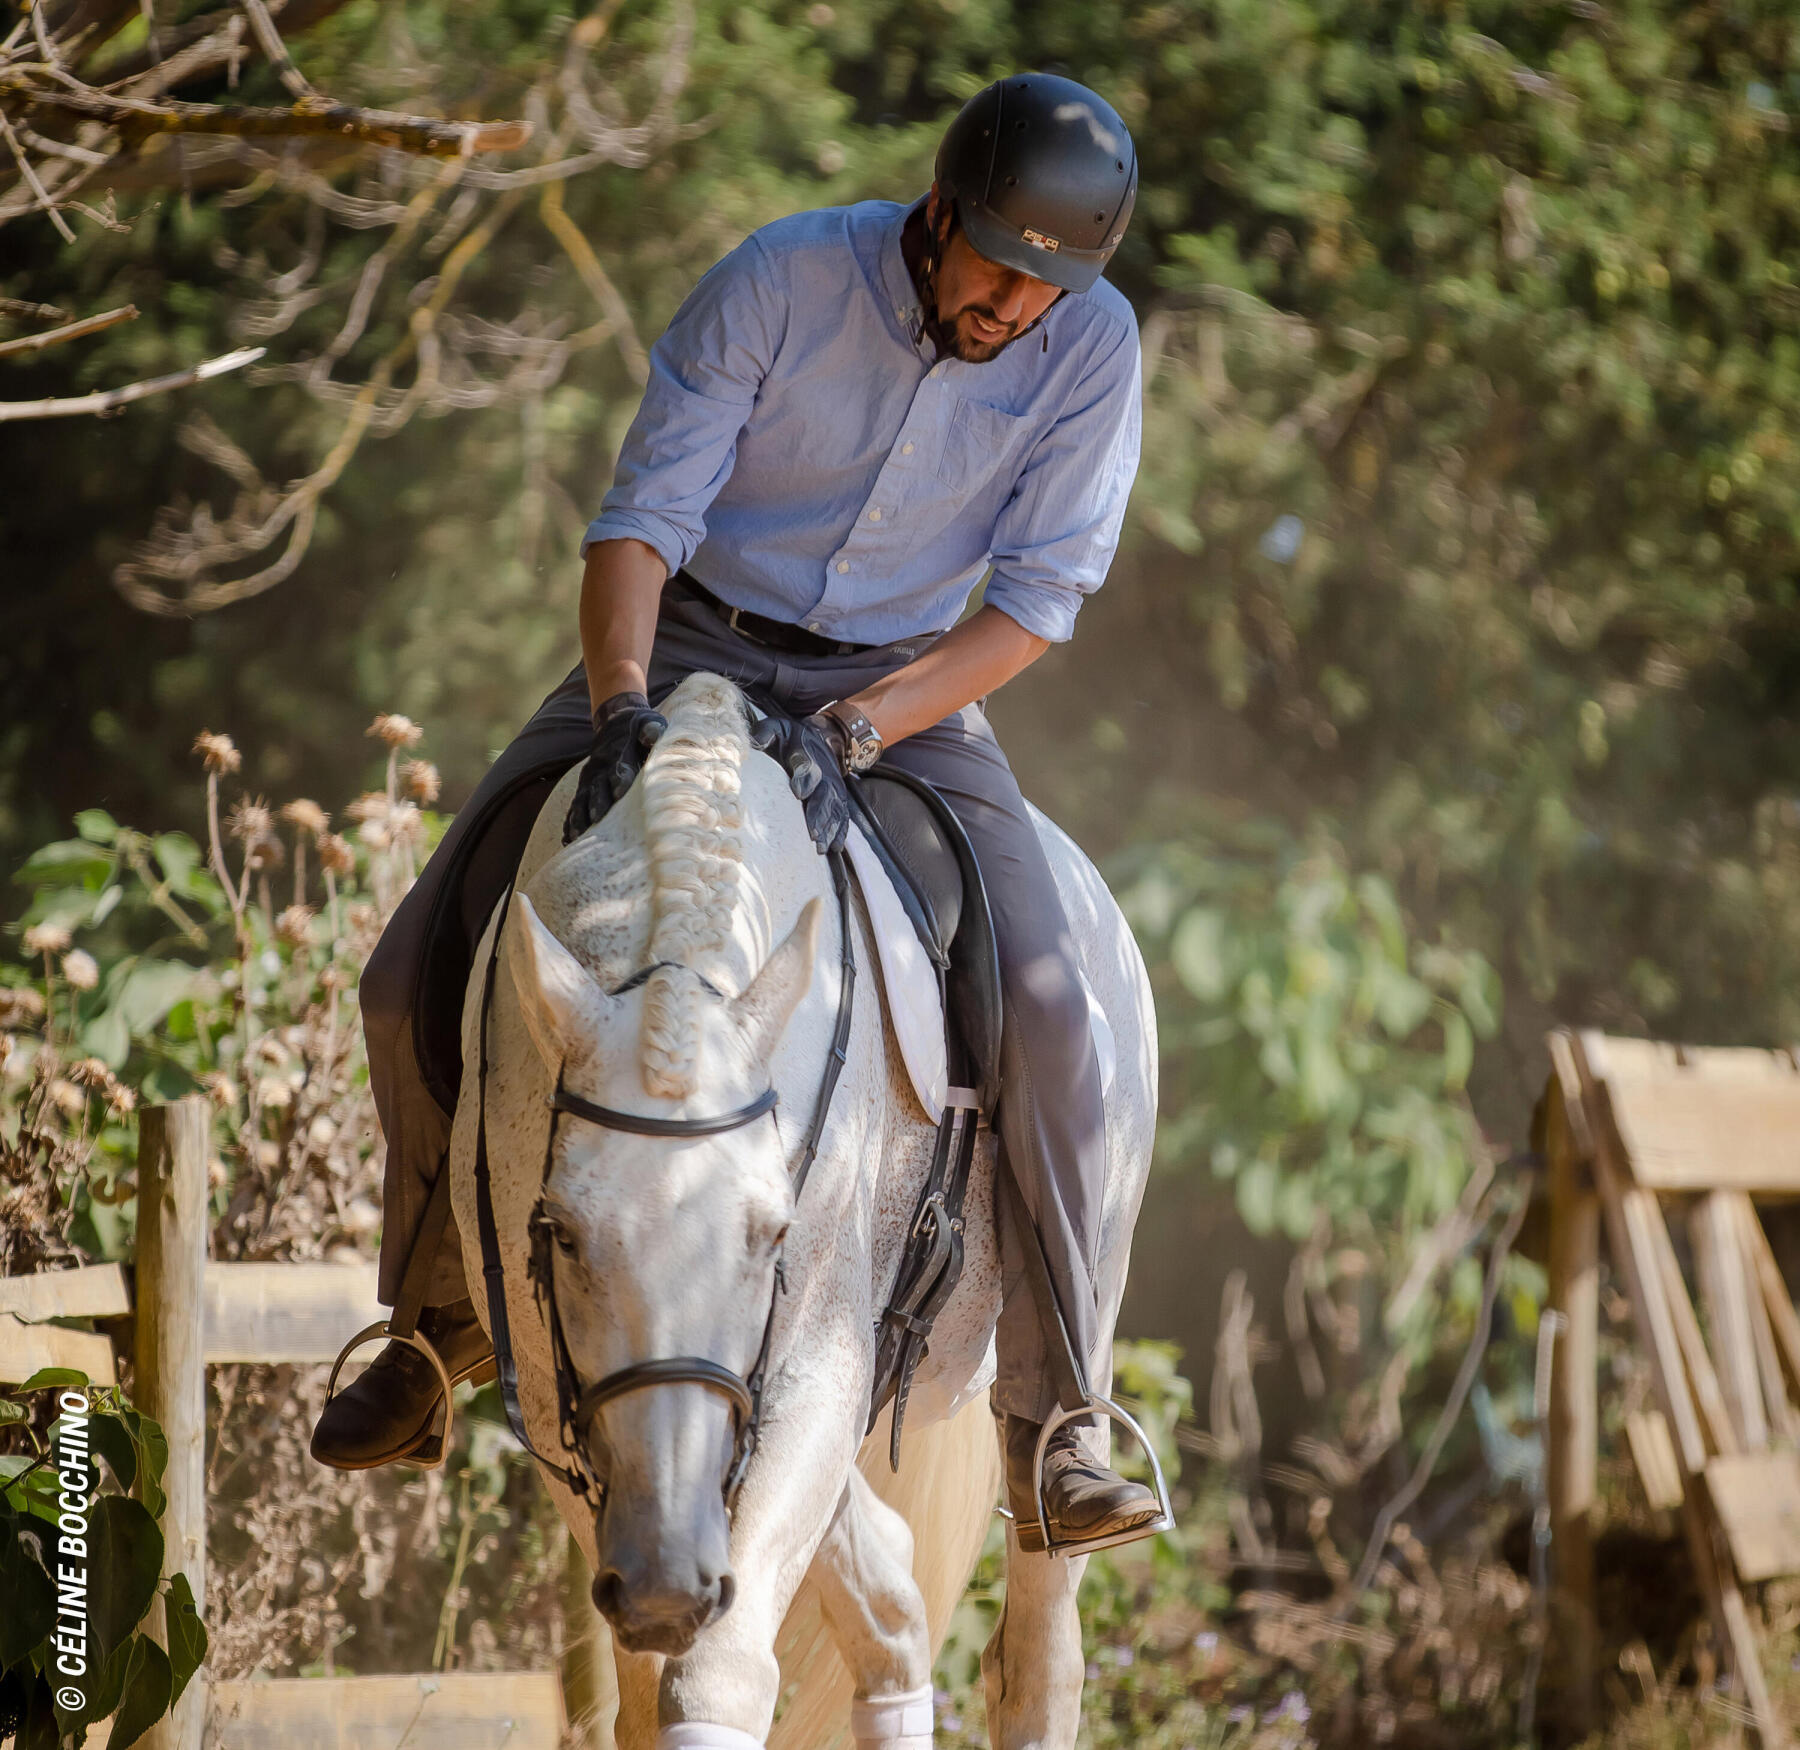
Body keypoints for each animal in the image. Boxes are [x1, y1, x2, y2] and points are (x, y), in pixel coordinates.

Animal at [442, 680, 1159, 1750]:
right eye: (559, 1232)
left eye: (770, 1234)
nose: (665, 1578)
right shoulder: (562, 1392)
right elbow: (653, 1689)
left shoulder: (818, 1370)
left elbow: (715, 1676)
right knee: (892, 1603)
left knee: (1037, 1653)